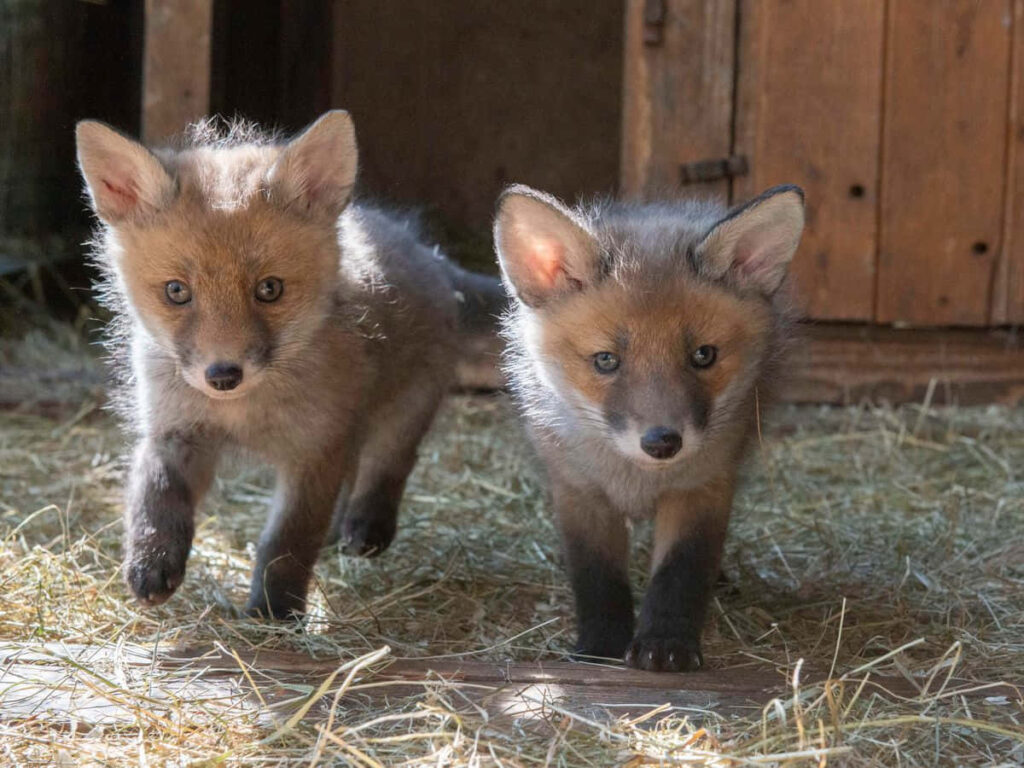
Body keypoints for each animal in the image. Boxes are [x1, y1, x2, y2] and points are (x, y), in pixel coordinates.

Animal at [75, 111, 505, 619]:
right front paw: (152, 561)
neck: (242, 413)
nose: (223, 375)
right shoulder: (175, 430)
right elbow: (156, 496)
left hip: (405, 406)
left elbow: (288, 542)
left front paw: (274, 612)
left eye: (270, 289)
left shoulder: (314, 450)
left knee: (390, 463)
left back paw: (367, 527)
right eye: (176, 291)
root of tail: (430, 256)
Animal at [494, 183, 804, 671]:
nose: (662, 442)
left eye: (703, 355)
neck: (636, 479)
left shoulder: (703, 488)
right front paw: (600, 648)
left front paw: (666, 643)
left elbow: (681, 573)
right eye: (606, 360)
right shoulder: (580, 492)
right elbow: (597, 579)